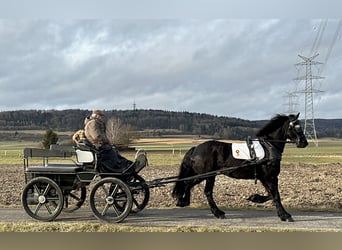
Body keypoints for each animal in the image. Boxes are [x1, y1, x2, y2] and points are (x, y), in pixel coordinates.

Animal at [172, 113, 308, 221]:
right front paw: (285, 215)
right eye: (295, 127)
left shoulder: (264, 177)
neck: (269, 146)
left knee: (199, 188)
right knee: (193, 186)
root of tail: (196, 149)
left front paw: (255, 198)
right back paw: (188, 202)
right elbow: (276, 195)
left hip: (209, 175)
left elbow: (270, 194)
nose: (304, 143)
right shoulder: (271, 177)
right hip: (206, 175)